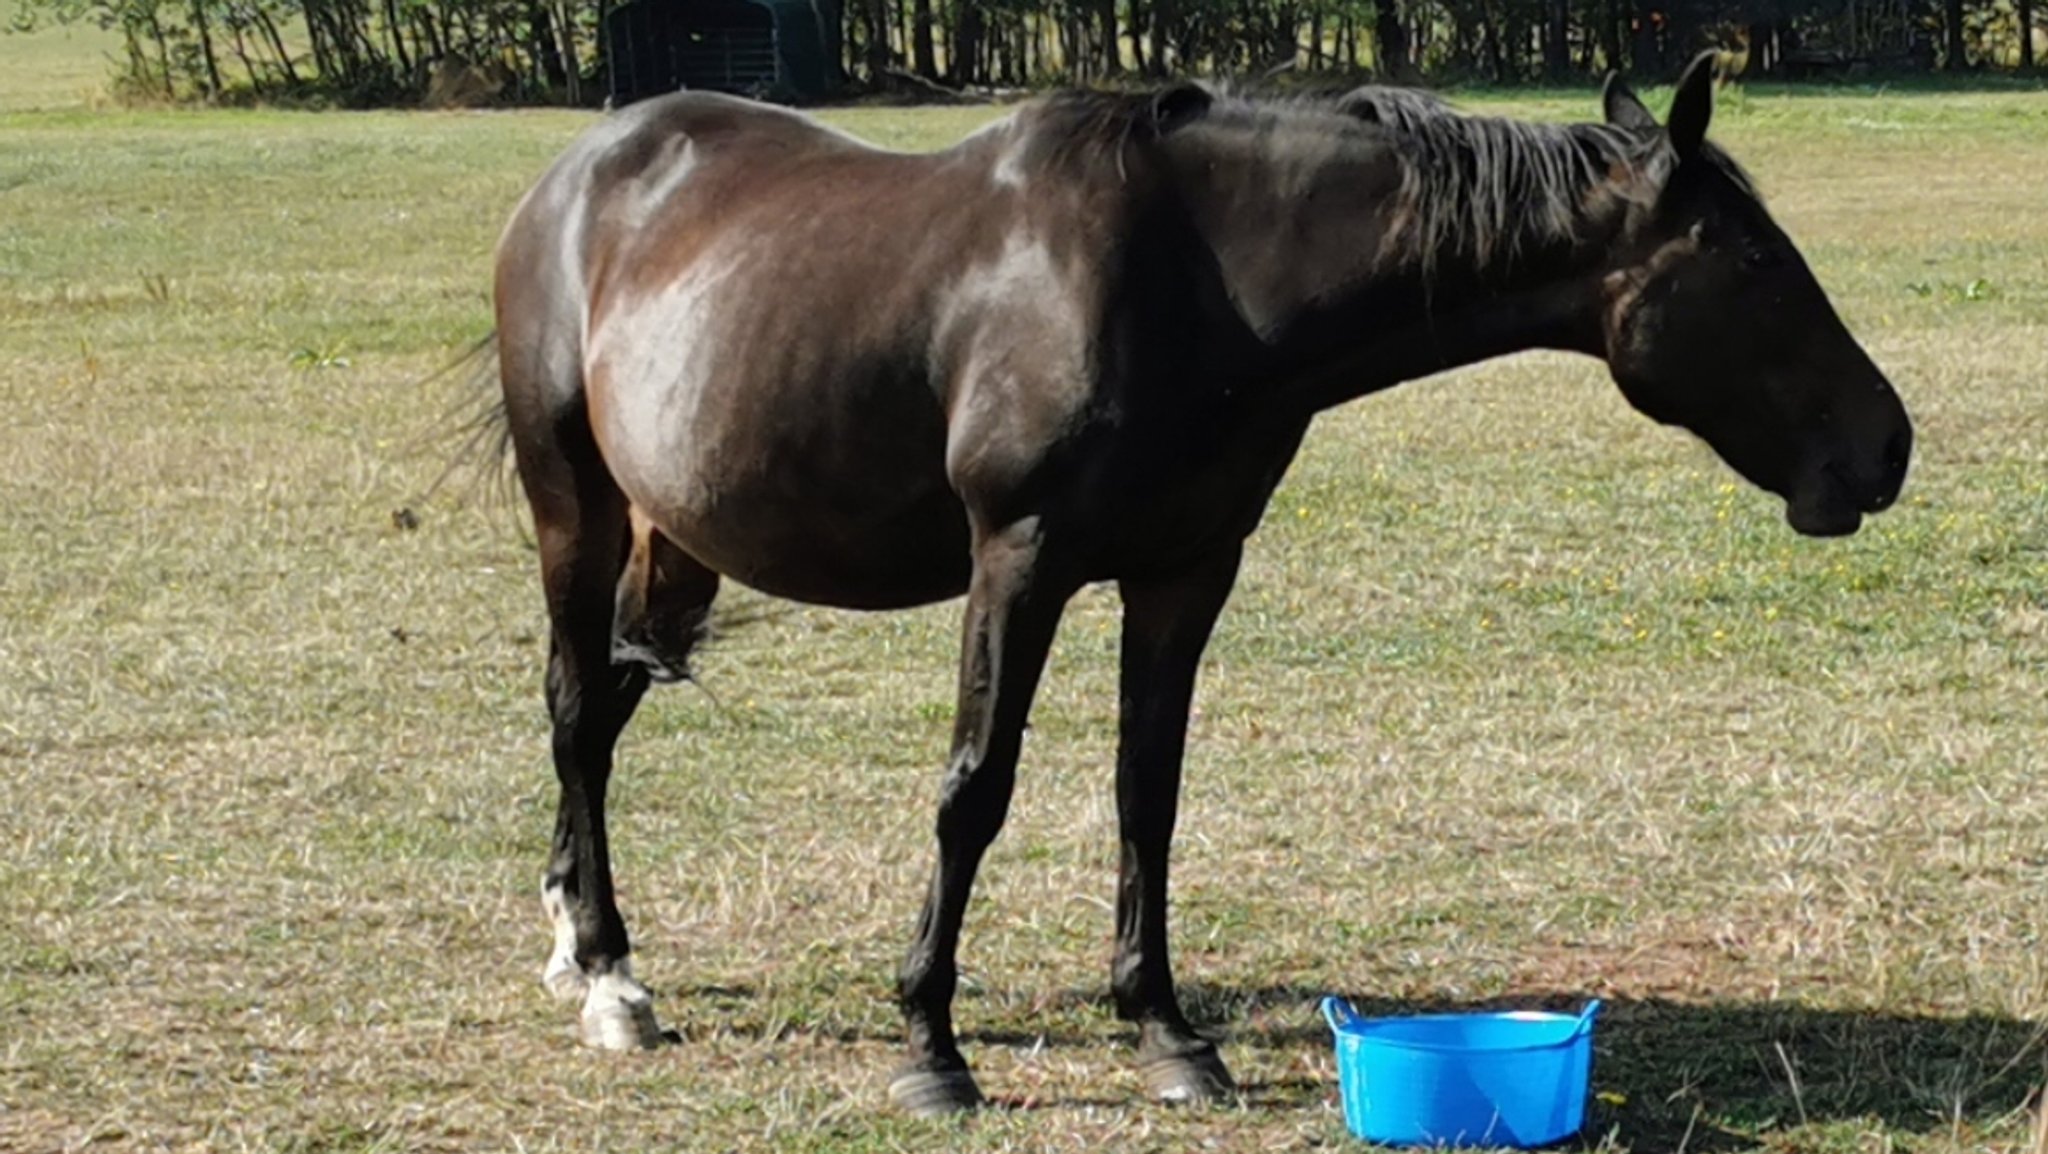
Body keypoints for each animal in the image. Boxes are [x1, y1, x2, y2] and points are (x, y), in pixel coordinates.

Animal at [483, 49, 1916, 1115]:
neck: (1189, 282)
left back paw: (569, 935)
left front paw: (1165, 1030)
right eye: (1755, 264)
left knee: (603, 708)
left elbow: (1147, 794)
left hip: (672, 534)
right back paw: (611, 978)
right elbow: (973, 791)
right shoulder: (1018, 560)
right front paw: (929, 1044)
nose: (1886, 443)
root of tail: (578, 173)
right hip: (575, 506)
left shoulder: (1183, 573)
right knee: (574, 713)